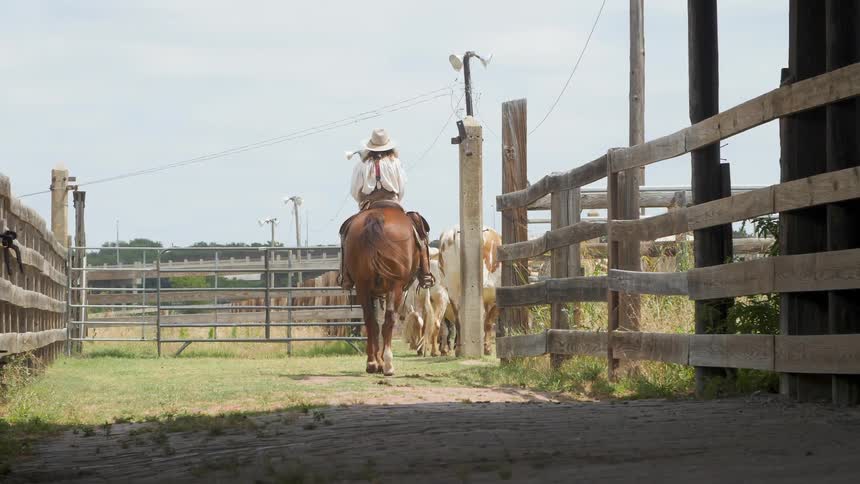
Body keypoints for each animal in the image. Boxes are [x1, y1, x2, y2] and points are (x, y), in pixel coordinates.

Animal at [342, 203, 420, 376]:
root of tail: (376, 217)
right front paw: (382, 362)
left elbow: (375, 324)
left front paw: (377, 362)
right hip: (394, 286)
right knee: (389, 320)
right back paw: (388, 364)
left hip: (362, 285)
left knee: (370, 320)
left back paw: (371, 363)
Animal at [437, 225, 502, 355]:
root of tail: (455, 231)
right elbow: (488, 321)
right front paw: (487, 348)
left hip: (452, 287)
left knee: (458, 319)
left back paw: (458, 349)